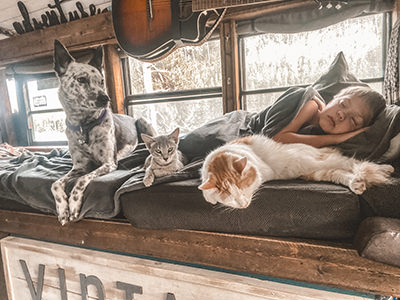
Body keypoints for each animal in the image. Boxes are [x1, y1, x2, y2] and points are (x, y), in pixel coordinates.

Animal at [51, 39, 155, 224]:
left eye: (101, 81)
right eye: (81, 79)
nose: (105, 98)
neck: (84, 125)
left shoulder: (108, 163)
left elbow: (81, 180)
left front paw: (74, 204)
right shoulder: (79, 166)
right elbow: (55, 184)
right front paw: (62, 209)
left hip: (143, 121)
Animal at [198, 136, 392, 209]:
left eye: (242, 189)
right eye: (229, 196)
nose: (244, 205)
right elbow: (207, 194)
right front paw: (212, 197)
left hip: (310, 160)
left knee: (352, 162)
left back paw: (386, 169)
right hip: (316, 170)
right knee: (341, 173)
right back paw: (357, 183)